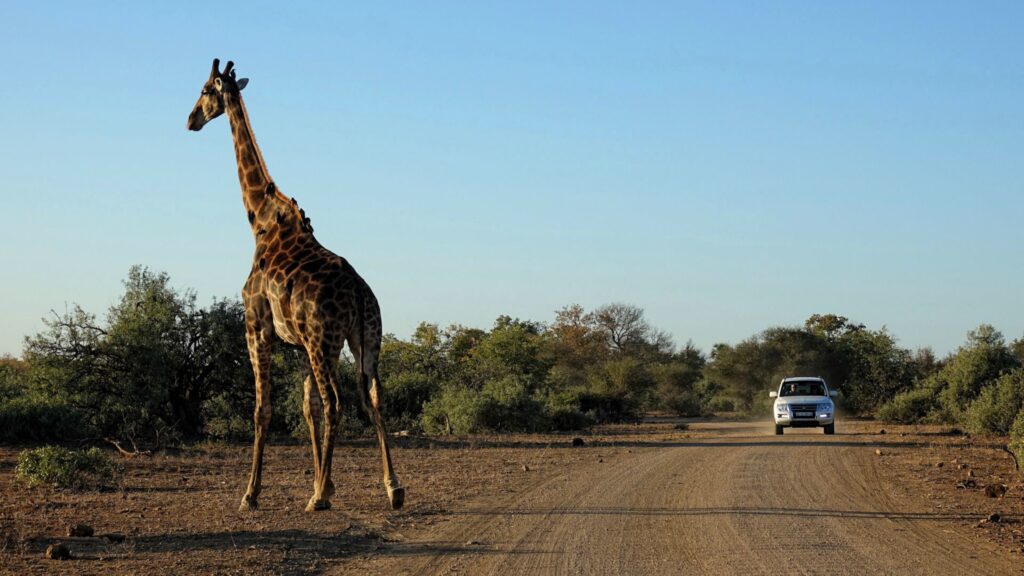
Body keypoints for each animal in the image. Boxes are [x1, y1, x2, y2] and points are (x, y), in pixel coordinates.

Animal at [188, 57, 403, 506]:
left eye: (204, 89)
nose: (190, 120)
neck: (260, 220)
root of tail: (360, 292)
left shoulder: (256, 328)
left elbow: (263, 409)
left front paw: (252, 493)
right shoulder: (299, 343)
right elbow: (307, 408)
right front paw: (326, 480)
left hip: (326, 341)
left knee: (337, 402)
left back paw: (317, 499)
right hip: (365, 337)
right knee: (373, 397)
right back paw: (394, 488)